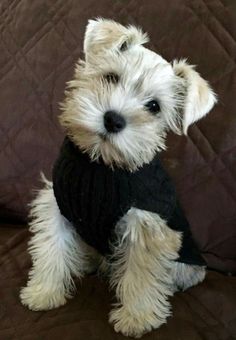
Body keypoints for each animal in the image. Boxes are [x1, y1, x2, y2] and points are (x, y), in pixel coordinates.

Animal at [21, 19, 217, 338]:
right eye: (111, 77)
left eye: (154, 106)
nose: (113, 119)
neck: (101, 164)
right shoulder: (56, 207)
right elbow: (52, 249)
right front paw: (44, 292)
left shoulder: (146, 225)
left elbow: (141, 274)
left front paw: (137, 317)